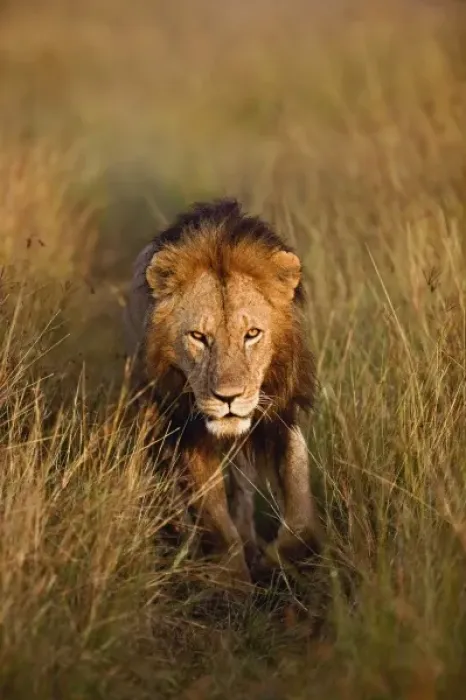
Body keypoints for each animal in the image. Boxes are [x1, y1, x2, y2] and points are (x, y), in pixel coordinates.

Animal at [123, 198, 322, 586]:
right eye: (199, 337)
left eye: (252, 334)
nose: (227, 398)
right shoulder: (188, 428)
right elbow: (213, 513)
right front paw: (232, 581)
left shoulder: (279, 414)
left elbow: (299, 497)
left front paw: (279, 558)